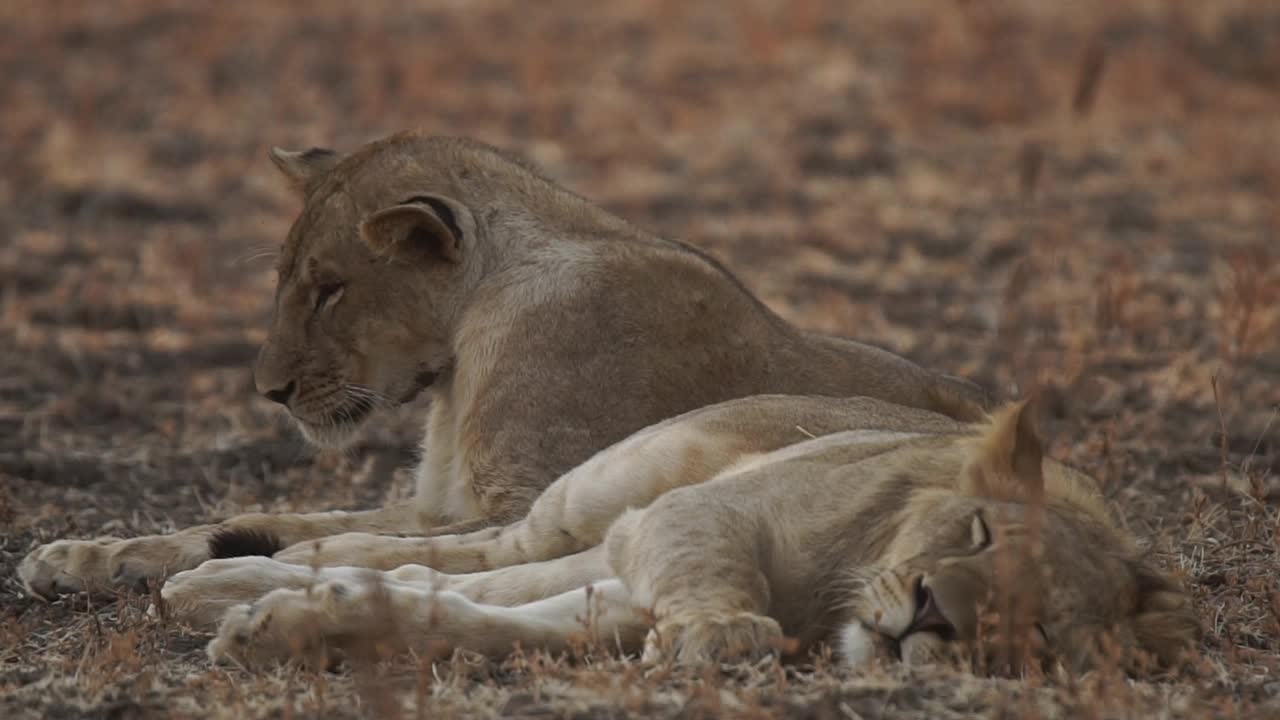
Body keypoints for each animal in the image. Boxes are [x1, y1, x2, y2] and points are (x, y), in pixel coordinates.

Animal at [17, 131, 977, 597]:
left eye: (330, 289)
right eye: (289, 281)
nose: (270, 391)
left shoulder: (511, 499)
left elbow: (315, 533)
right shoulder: (439, 502)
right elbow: (259, 514)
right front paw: (82, 556)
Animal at [194, 392, 1192, 671]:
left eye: (1037, 630)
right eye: (980, 534)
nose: (933, 614)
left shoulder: (625, 594)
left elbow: (479, 624)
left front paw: (295, 626)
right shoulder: (699, 515)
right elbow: (724, 591)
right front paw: (726, 635)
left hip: (608, 546)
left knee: (463, 581)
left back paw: (242, 600)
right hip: (616, 485)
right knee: (478, 546)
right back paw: (233, 570)